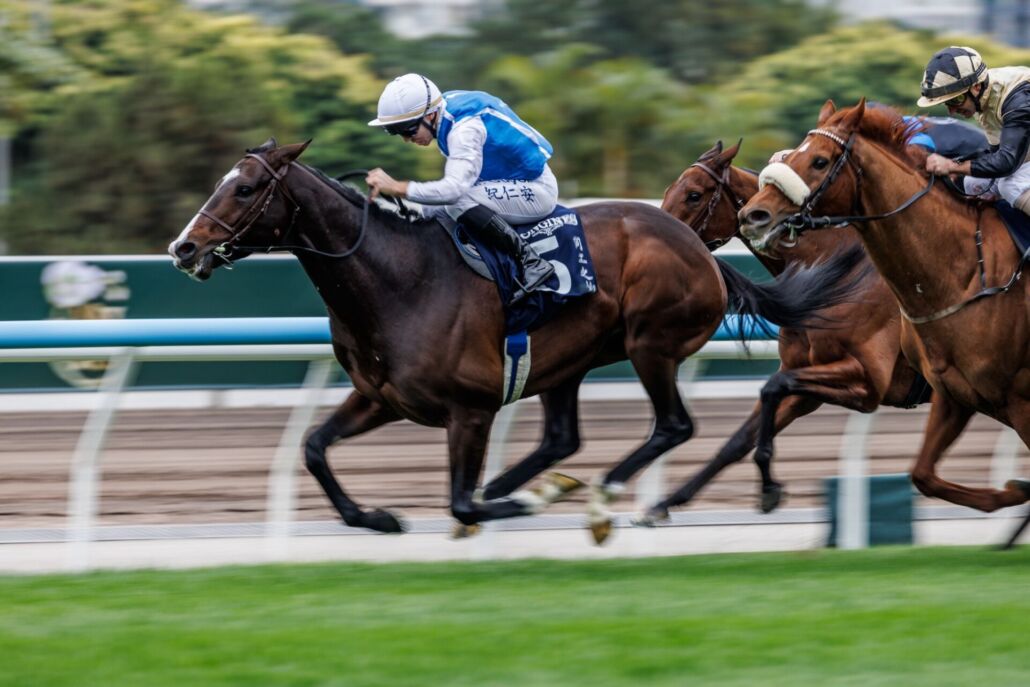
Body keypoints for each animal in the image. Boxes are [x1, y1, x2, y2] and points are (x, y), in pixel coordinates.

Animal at [168, 138, 865, 544]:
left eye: (246, 187)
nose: (184, 248)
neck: (397, 278)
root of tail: (699, 250)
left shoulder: (470, 409)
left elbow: (460, 503)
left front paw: (516, 504)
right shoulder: (381, 396)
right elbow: (314, 447)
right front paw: (376, 516)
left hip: (650, 342)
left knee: (672, 425)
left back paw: (599, 499)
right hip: (567, 361)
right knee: (562, 437)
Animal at [635, 140, 932, 524]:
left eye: (694, 195)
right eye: (670, 190)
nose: (659, 235)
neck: (838, 276)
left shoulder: (867, 382)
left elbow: (771, 391)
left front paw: (768, 485)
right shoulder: (807, 382)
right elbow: (739, 438)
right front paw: (666, 502)